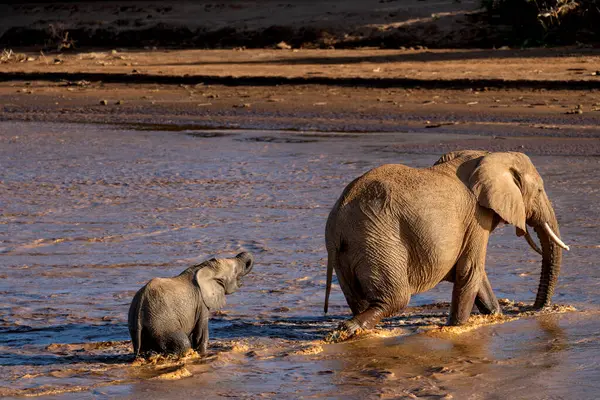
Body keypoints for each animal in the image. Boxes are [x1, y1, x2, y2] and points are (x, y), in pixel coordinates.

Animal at [326, 150, 568, 334]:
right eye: (539, 190)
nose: (535, 309)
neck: (491, 156)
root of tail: (337, 222)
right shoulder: (476, 217)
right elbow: (470, 270)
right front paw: (456, 327)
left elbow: (474, 273)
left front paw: (495, 316)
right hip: (378, 240)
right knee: (396, 298)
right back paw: (347, 329)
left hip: (348, 252)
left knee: (359, 300)